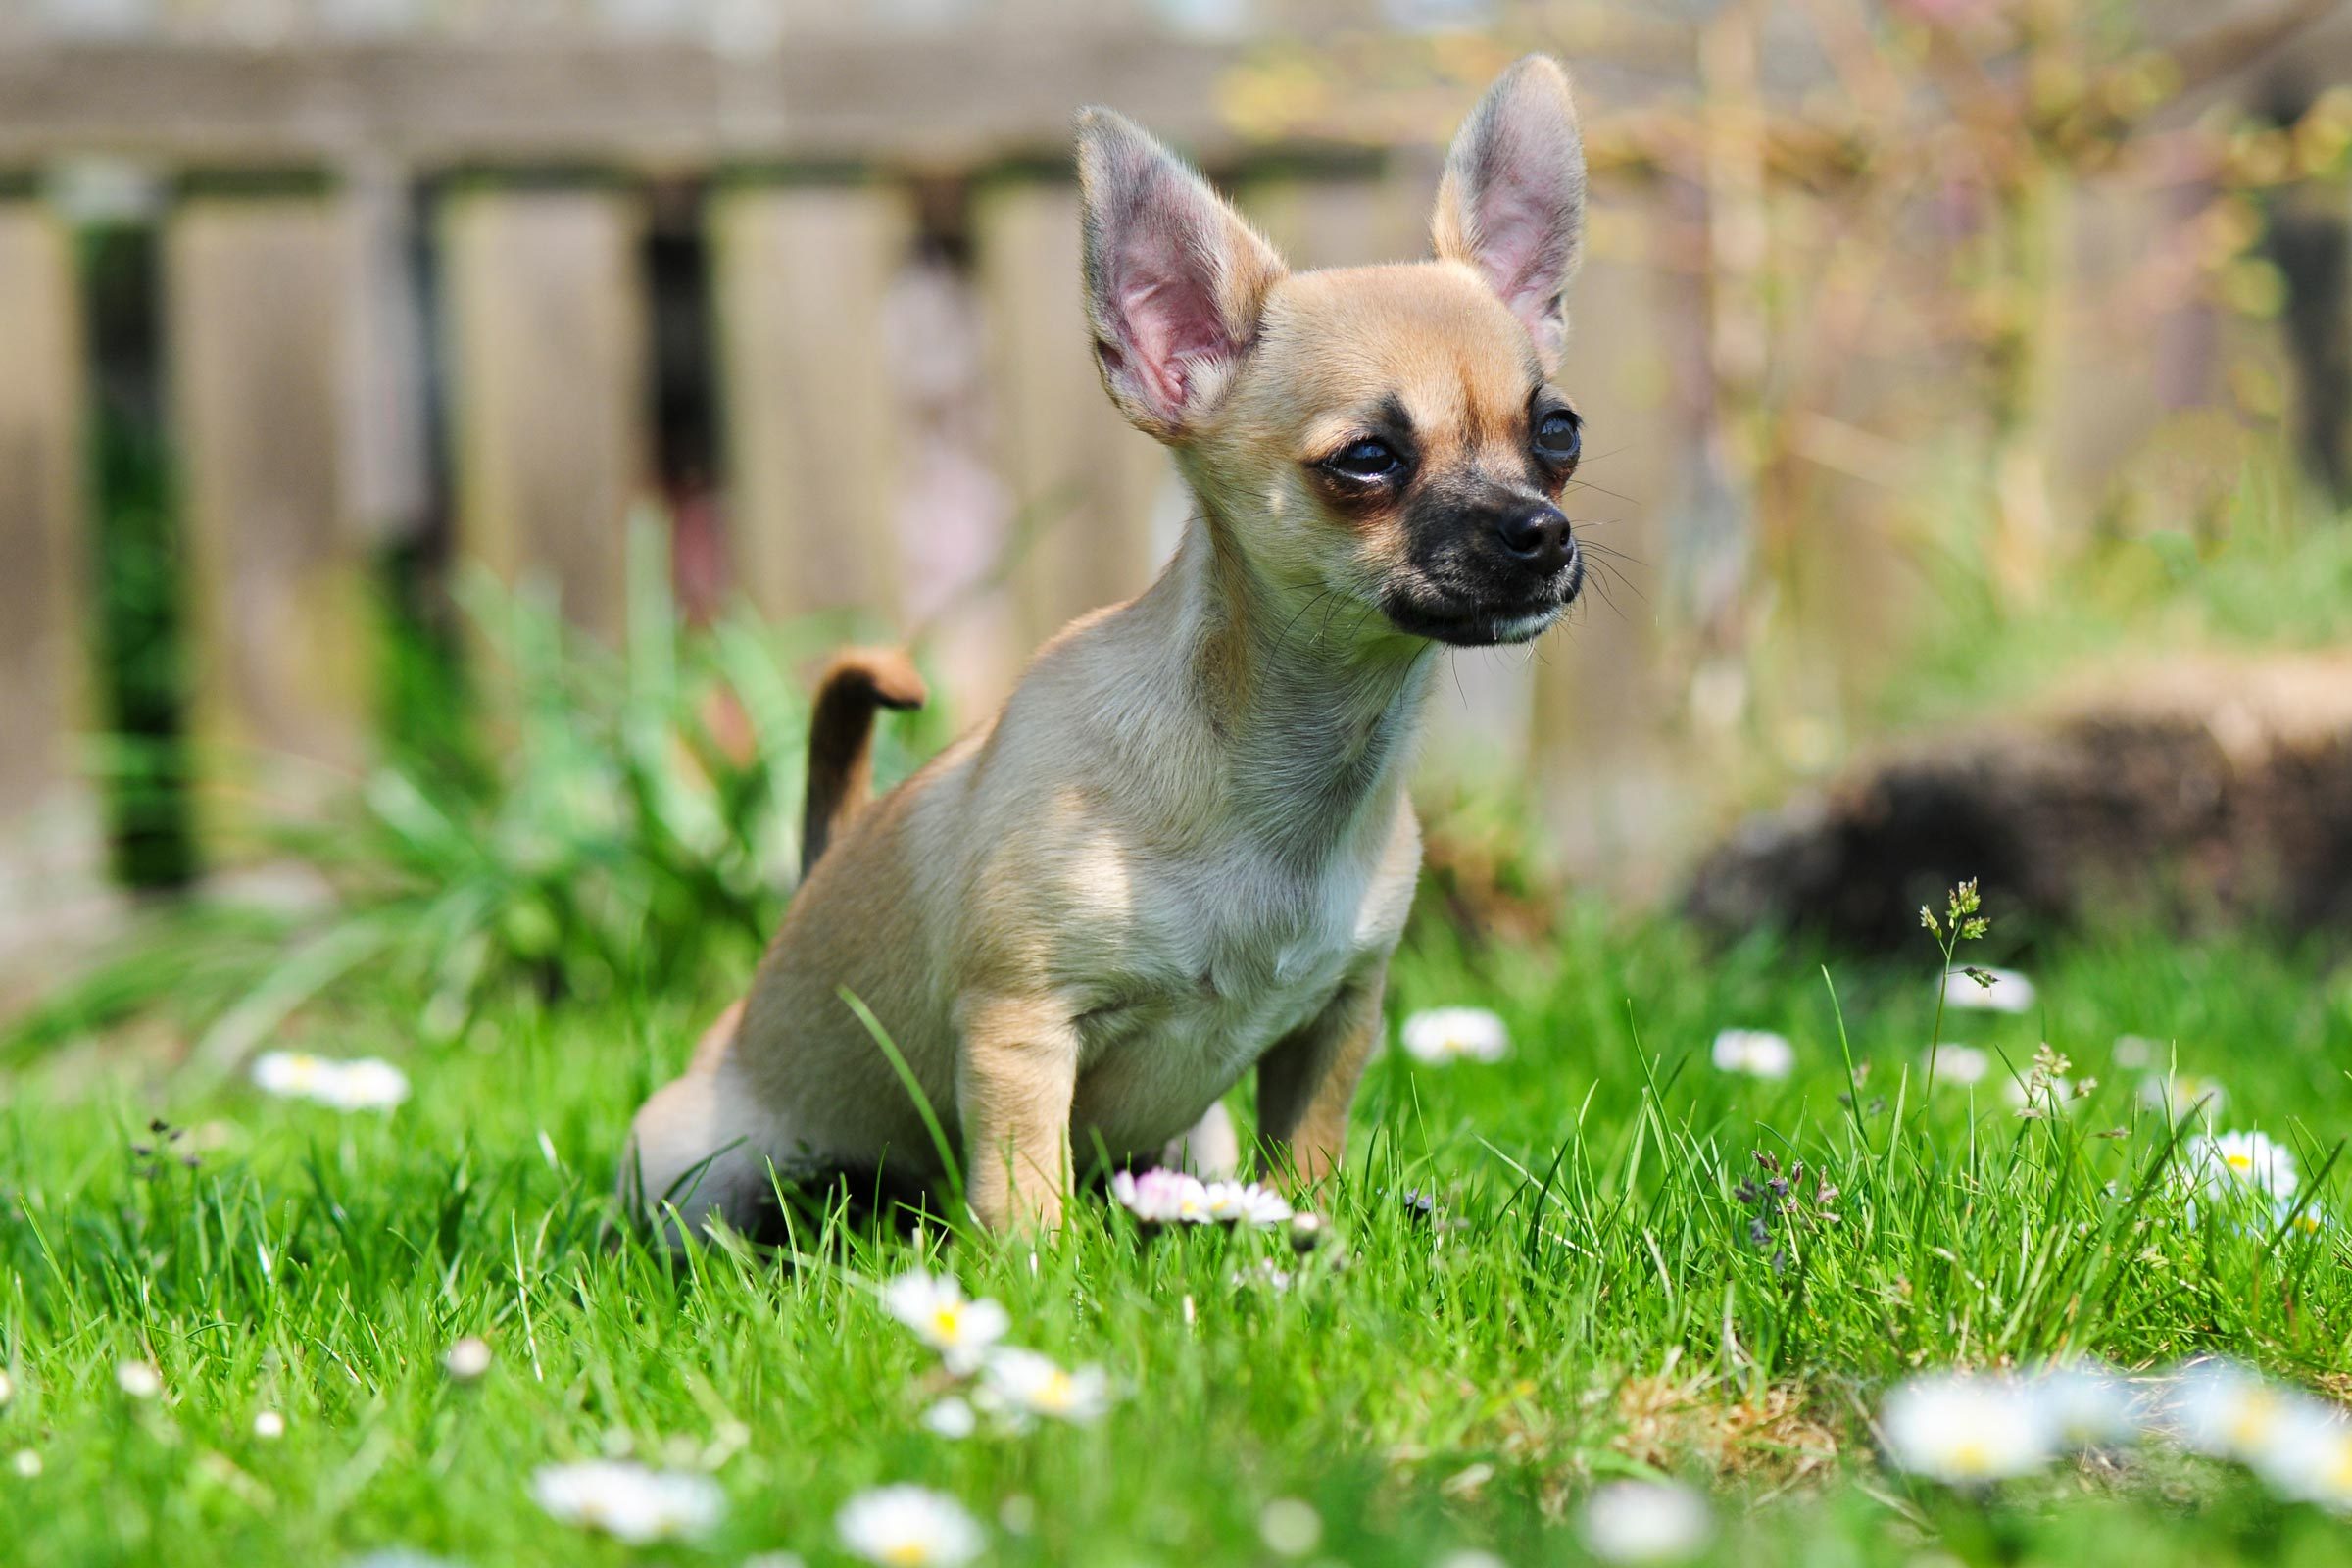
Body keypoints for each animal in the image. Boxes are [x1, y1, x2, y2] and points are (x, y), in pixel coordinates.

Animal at [625, 55, 1590, 1241]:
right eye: (1367, 459)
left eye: (1558, 435)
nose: (1542, 533)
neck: (1279, 760)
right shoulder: (1022, 1031)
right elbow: (1023, 1196)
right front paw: (1034, 1275)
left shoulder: (1335, 1022)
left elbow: (1306, 1156)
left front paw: (1313, 1237)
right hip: (690, 1164)